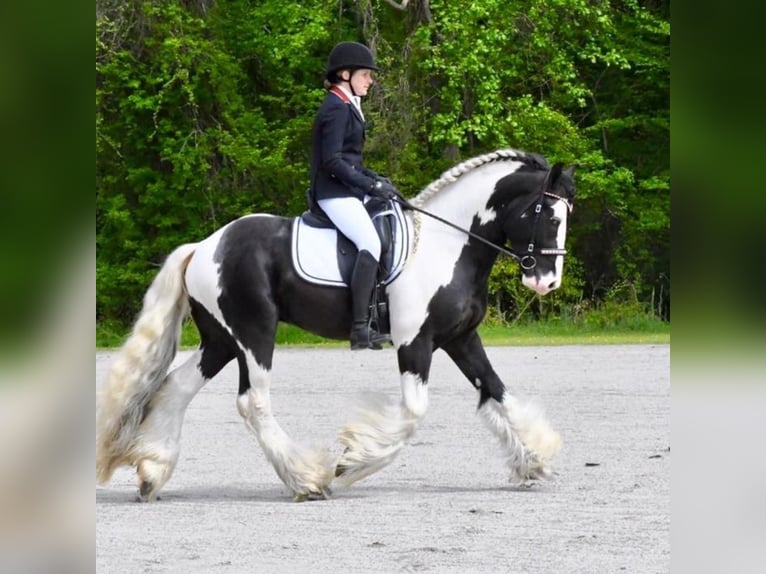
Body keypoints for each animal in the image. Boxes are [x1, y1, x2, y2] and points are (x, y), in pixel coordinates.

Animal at [96, 150, 576, 504]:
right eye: (549, 215)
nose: (546, 282)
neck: (447, 245)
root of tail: (204, 246)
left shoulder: (460, 339)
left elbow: (496, 391)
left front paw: (534, 458)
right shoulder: (414, 343)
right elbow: (413, 413)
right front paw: (350, 463)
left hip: (220, 340)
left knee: (176, 387)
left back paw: (152, 472)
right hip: (254, 334)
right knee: (253, 402)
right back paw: (307, 480)